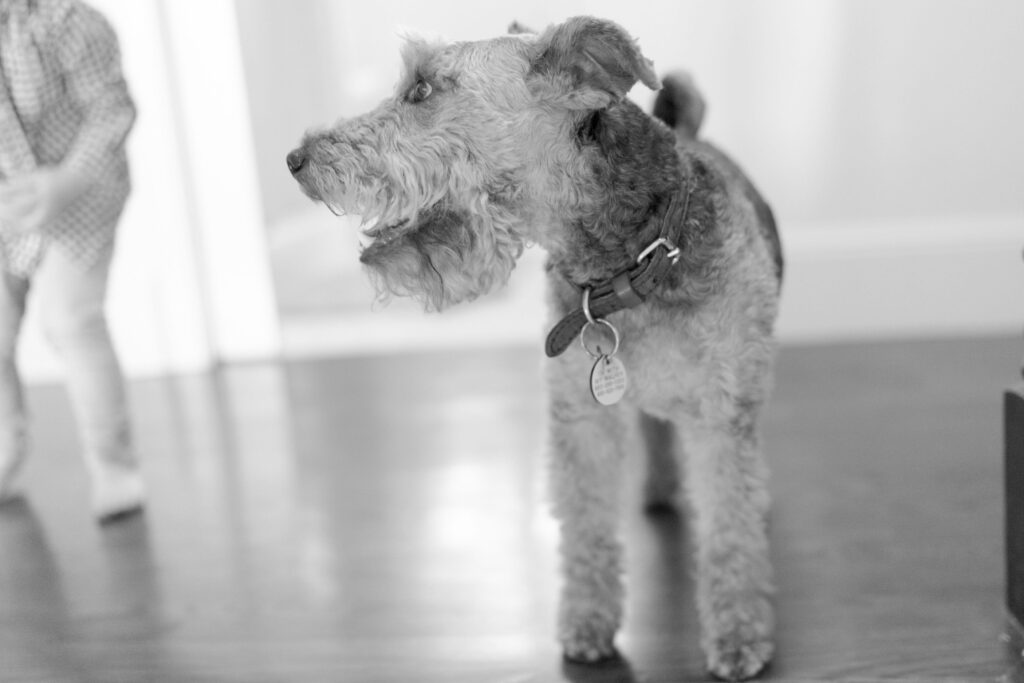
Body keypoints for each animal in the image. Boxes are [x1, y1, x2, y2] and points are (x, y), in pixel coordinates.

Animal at [288, 15, 782, 679]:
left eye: (422, 88)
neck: (633, 262)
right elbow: (587, 531)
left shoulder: (721, 417)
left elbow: (730, 530)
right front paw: (587, 627)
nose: (295, 158)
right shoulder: (581, 418)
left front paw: (738, 637)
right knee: (655, 437)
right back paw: (657, 491)